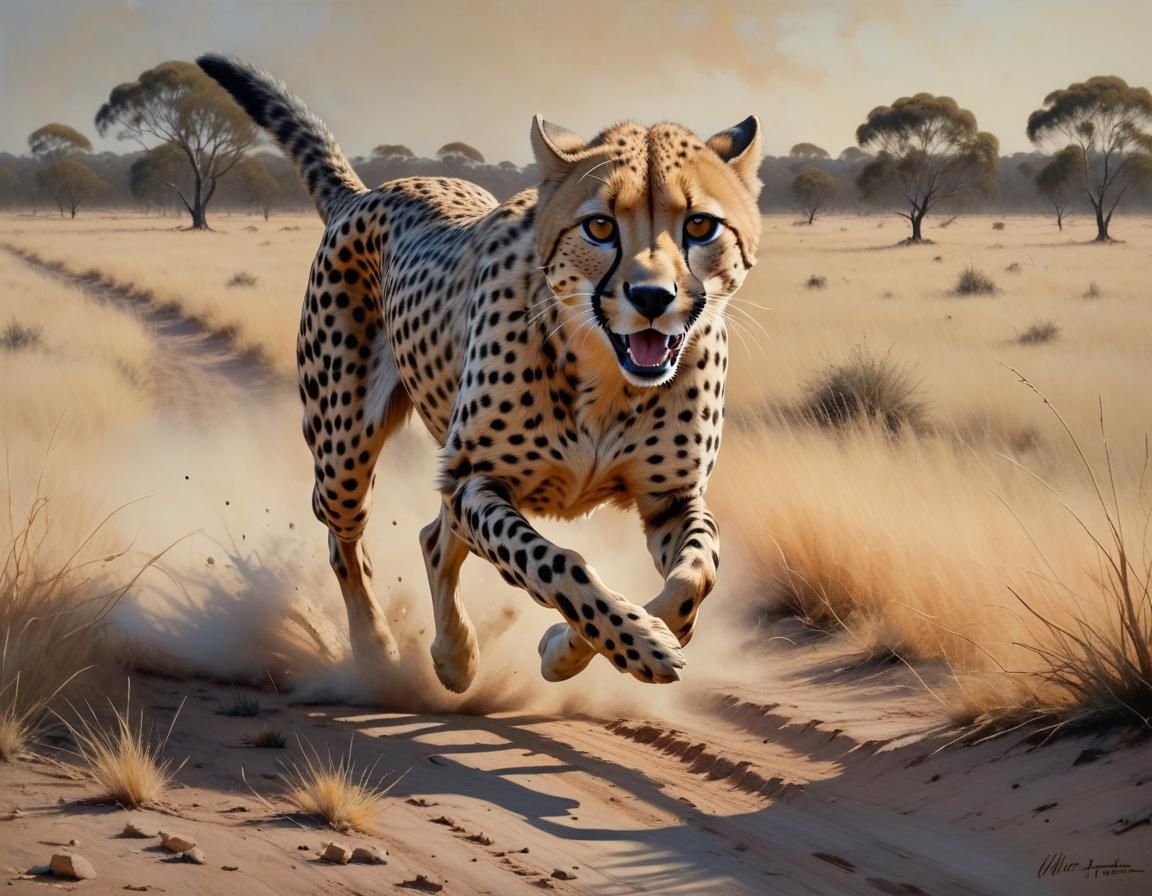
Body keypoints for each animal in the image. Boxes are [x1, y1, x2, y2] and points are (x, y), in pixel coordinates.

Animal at [197, 53, 762, 692]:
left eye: (700, 226)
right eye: (598, 227)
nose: (650, 297)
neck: (606, 377)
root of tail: (369, 192)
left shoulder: (672, 497)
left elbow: (694, 577)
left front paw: (576, 648)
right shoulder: (475, 479)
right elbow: (557, 564)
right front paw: (634, 644)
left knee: (433, 539)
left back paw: (454, 656)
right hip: (344, 454)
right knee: (348, 541)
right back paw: (377, 651)